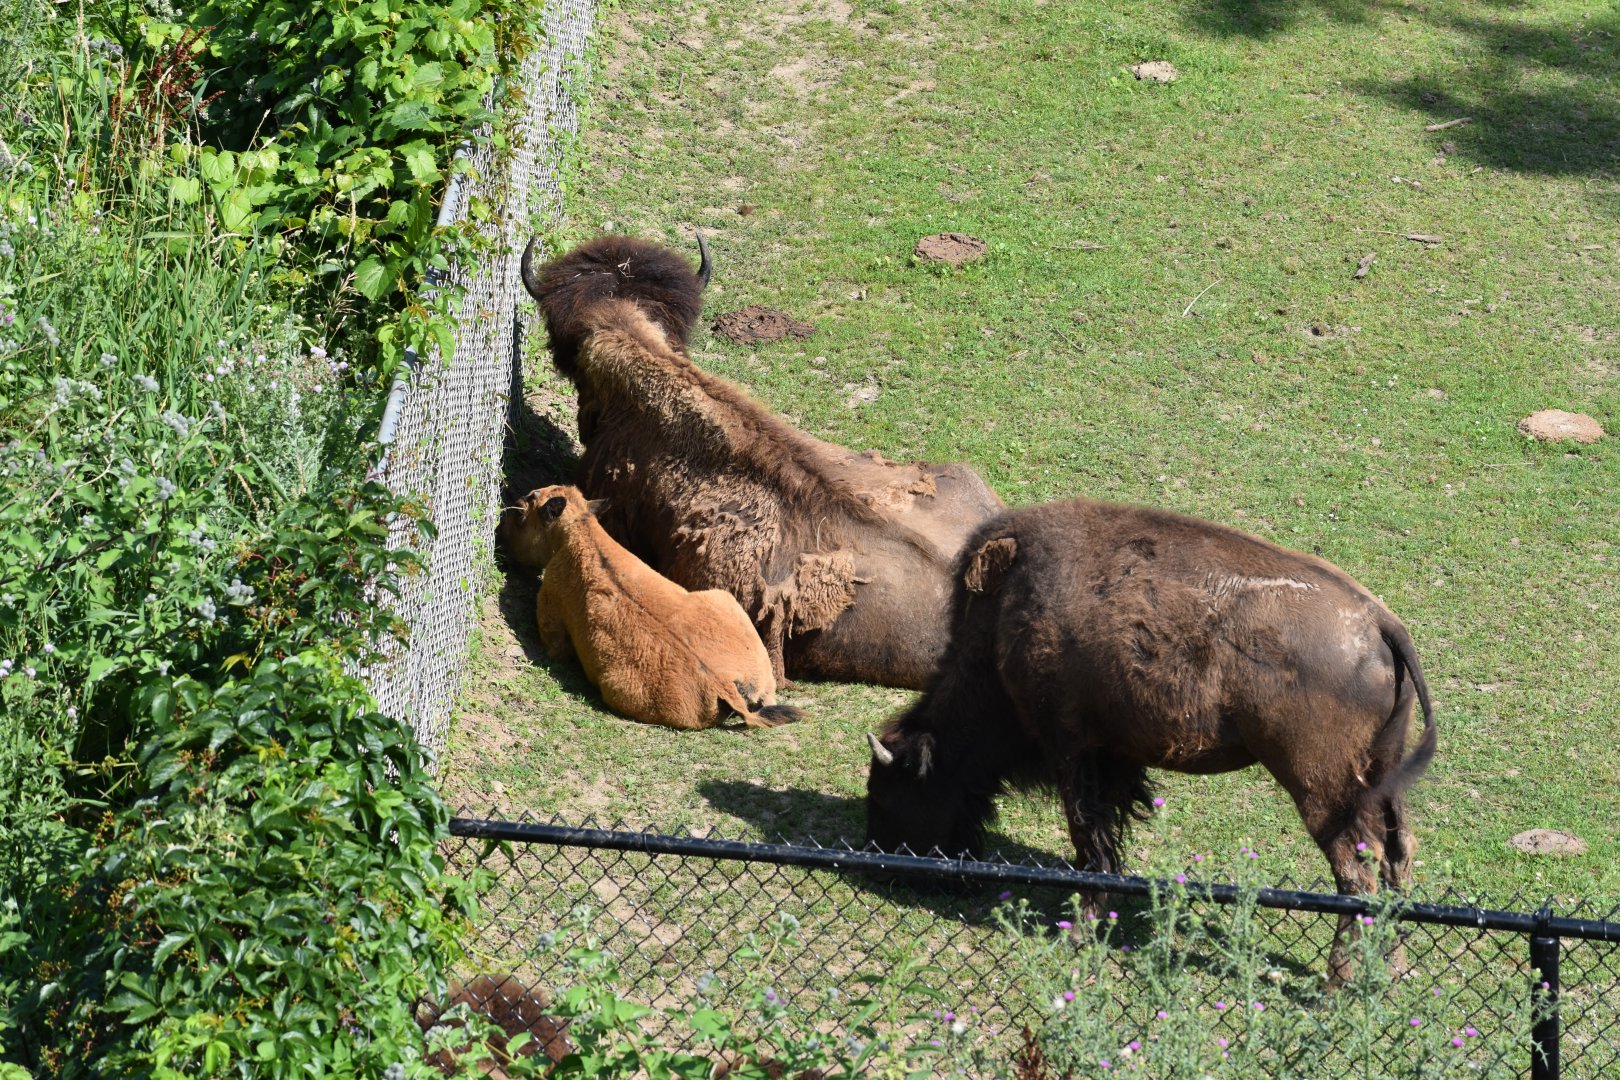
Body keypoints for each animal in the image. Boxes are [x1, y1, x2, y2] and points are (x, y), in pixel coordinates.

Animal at [865, 498, 1436, 980]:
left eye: (887, 793)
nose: (883, 869)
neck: (1003, 618)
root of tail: (1379, 623)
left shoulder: (1069, 745)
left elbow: (1087, 834)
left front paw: (1080, 929)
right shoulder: (1109, 755)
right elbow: (1106, 833)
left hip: (1321, 786)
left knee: (1357, 871)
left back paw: (1339, 980)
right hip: (1381, 777)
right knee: (1397, 855)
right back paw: (1391, 966)